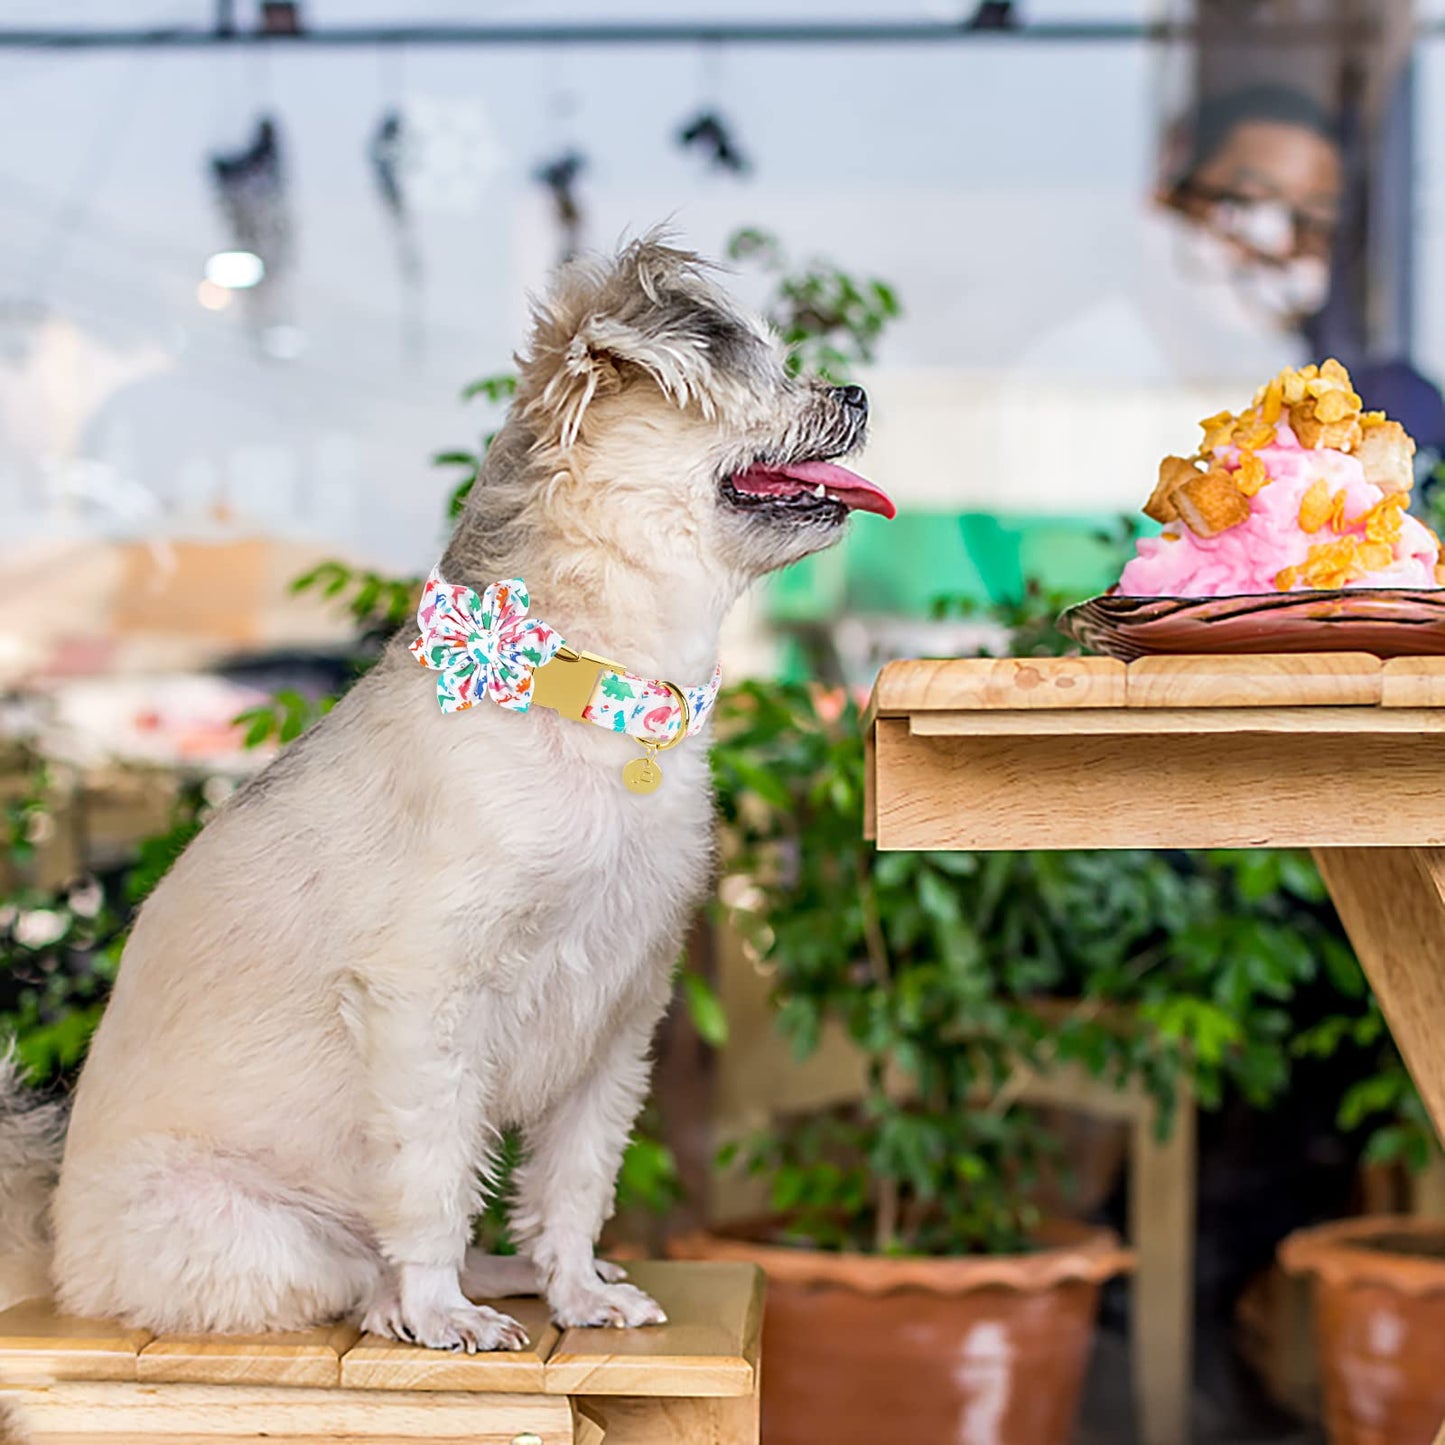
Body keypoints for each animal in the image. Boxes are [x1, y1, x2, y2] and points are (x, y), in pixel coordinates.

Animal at [0, 236, 890, 1352]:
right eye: (747, 372)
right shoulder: (426, 1007)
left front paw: (576, 1290)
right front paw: (439, 1306)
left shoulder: (617, 1022)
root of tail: (52, 1252)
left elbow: (572, 1184)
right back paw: (410, 1303)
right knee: (358, 1268)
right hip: (276, 1239)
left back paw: (504, 1274)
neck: (587, 699)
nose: (857, 390)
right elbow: (433, 1180)